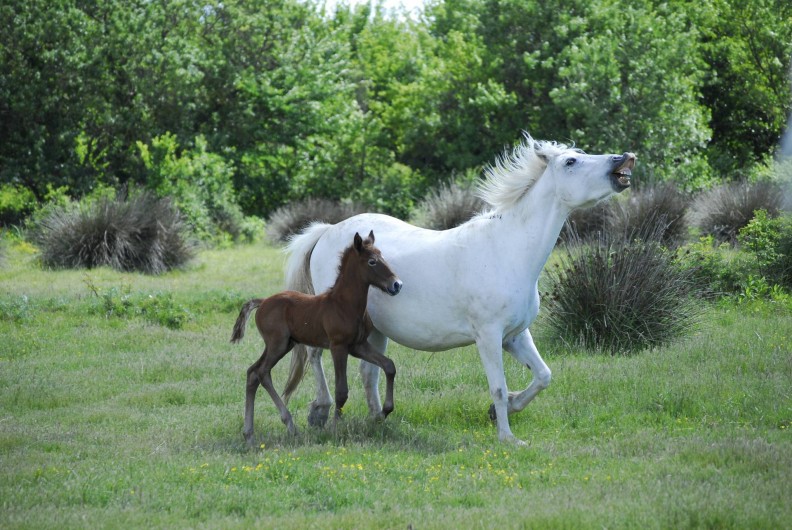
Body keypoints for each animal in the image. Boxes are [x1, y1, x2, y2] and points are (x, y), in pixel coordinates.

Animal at [230, 231, 403, 443]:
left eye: (382, 256)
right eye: (372, 261)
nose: (396, 284)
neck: (344, 304)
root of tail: (262, 302)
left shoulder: (358, 346)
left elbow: (389, 365)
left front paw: (385, 411)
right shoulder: (338, 346)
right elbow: (341, 391)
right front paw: (335, 428)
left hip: (285, 344)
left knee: (253, 372)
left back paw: (251, 434)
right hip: (277, 344)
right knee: (261, 372)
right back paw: (286, 425)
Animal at [282, 134, 636, 445]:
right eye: (571, 161)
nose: (625, 158)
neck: (506, 250)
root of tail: (328, 231)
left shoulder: (515, 336)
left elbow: (543, 376)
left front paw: (505, 408)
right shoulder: (489, 337)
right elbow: (497, 386)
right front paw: (507, 437)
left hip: (375, 331)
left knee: (369, 373)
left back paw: (376, 420)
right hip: (333, 322)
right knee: (315, 355)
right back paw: (320, 411)